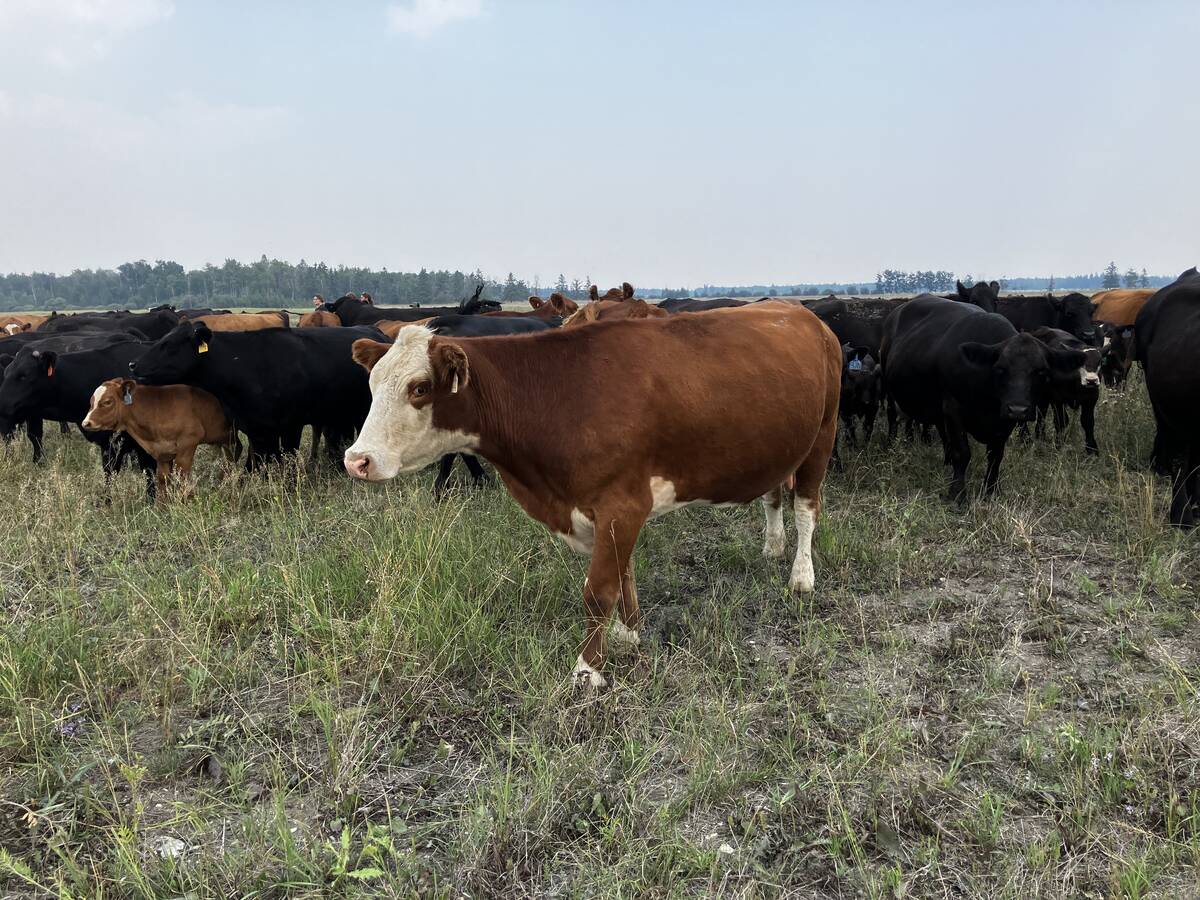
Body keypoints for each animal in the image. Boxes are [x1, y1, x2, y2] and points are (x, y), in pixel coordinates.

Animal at [82, 379, 240, 500]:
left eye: (107, 402)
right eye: (91, 402)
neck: (157, 409)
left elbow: (182, 475)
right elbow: (163, 479)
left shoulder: (188, 443)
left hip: (229, 438)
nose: (86, 423)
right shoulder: (162, 453)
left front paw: (189, 502)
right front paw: (161, 508)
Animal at [128, 321, 382, 469]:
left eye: (169, 344)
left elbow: (287, 460)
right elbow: (256, 463)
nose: (133, 364)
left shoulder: (291, 426)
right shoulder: (254, 427)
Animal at [341, 303, 841, 688]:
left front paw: (588, 670)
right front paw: (629, 633)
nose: (357, 460)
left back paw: (801, 575)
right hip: (780, 445)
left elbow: (599, 590)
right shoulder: (613, 509)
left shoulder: (622, 503)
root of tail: (800, 311)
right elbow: (624, 573)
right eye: (372, 385)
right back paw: (773, 545)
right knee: (774, 495)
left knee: (806, 508)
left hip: (822, 435)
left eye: (420, 388)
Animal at [881, 296, 1085, 501]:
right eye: (1000, 368)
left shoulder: (1003, 421)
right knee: (892, 416)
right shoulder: (953, 409)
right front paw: (958, 494)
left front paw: (991, 490)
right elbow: (962, 453)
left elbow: (995, 455)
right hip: (889, 390)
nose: (1018, 409)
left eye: (1041, 371)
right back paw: (890, 446)